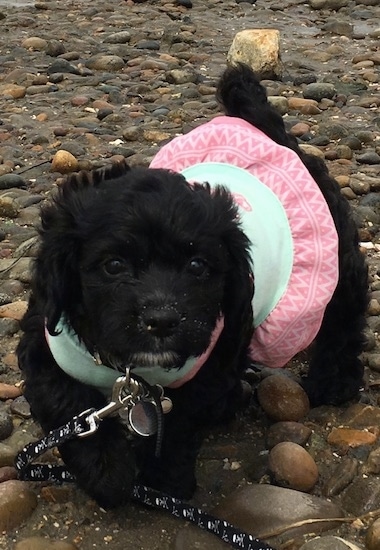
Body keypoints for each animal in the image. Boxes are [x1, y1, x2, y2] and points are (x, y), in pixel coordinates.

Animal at [17, 63, 368, 508]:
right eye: (114, 265)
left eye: (198, 266)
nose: (162, 319)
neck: (132, 372)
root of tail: (271, 134)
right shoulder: (46, 341)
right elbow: (65, 402)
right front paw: (107, 472)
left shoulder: (210, 360)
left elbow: (180, 422)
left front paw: (160, 480)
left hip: (336, 255)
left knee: (344, 314)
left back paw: (333, 382)